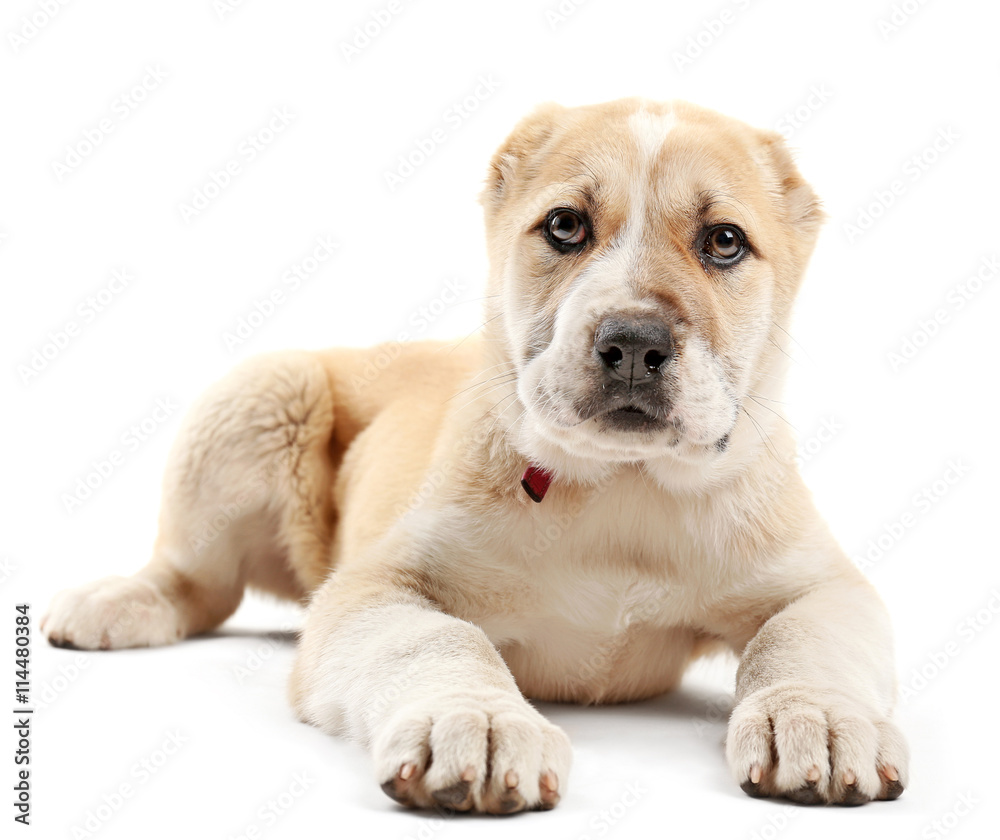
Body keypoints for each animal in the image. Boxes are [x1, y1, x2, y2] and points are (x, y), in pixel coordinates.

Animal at [43, 98, 912, 812]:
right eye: (565, 226)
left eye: (724, 242)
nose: (633, 343)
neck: (620, 487)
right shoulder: (379, 586)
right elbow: (439, 640)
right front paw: (478, 724)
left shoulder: (824, 586)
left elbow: (800, 641)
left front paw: (820, 718)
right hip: (263, 393)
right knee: (197, 583)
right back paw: (116, 602)